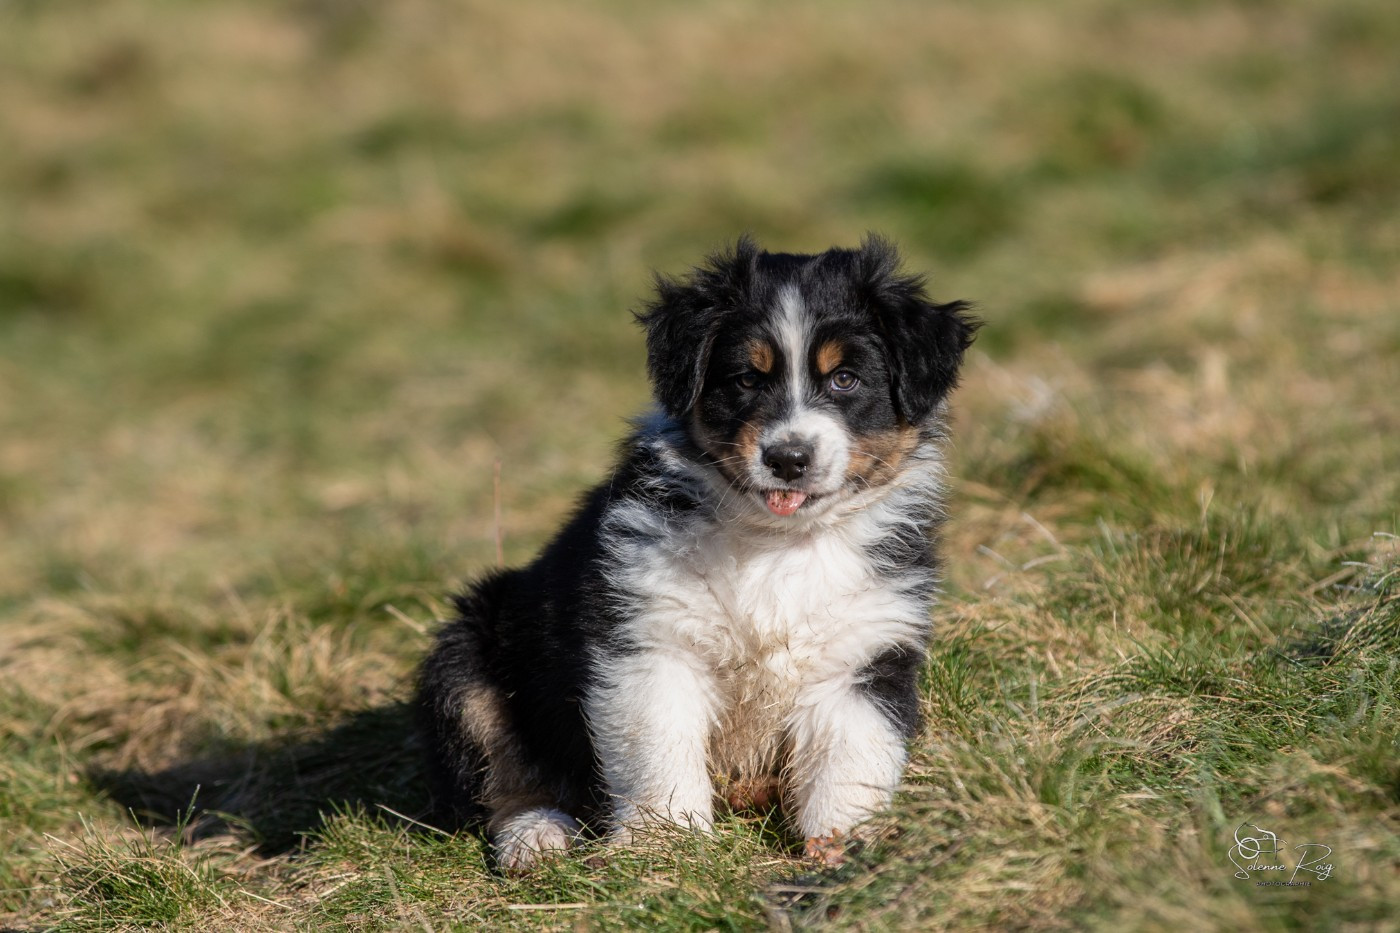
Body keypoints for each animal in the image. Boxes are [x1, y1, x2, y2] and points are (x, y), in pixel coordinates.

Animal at [417, 235, 977, 870]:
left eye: (846, 379)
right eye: (746, 380)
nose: (788, 459)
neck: (776, 543)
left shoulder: (863, 651)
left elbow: (851, 758)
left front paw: (845, 846)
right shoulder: (651, 641)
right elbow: (658, 751)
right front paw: (666, 849)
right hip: (468, 657)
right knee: (505, 774)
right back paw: (536, 837)